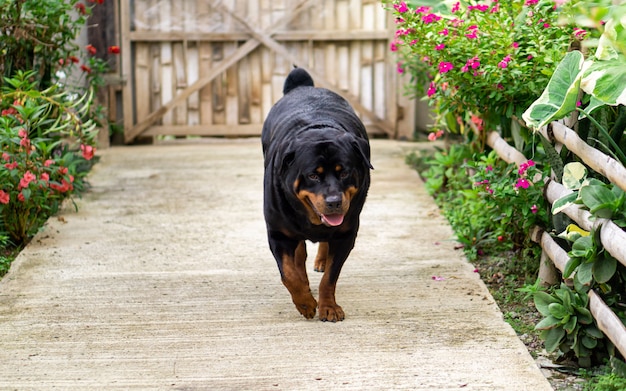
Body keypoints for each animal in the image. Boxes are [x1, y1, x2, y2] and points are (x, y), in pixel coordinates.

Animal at [260, 68, 370, 324]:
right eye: (312, 175)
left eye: (345, 172)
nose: (334, 201)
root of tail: (303, 86)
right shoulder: (278, 233)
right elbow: (289, 274)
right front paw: (306, 302)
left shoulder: (346, 234)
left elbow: (330, 276)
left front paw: (328, 306)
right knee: (299, 254)